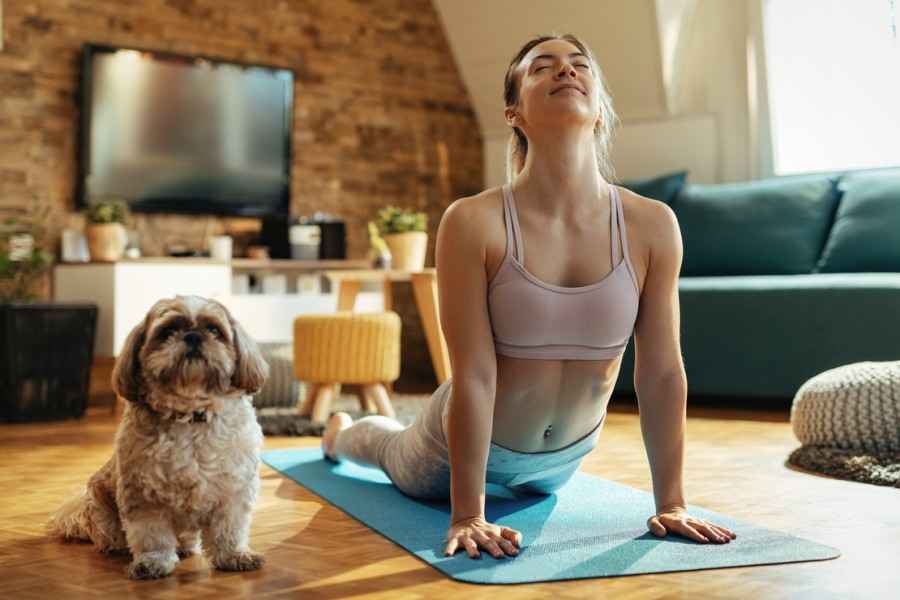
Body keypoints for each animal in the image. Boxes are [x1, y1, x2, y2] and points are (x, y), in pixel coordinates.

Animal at [47, 292, 268, 580]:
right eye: (168, 331)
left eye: (213, 330)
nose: (193, 336)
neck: (191, 414)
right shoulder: (143, 496)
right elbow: (152, 535)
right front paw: (153, 562)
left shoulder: (233, 491)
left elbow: (229, 529)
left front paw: (233, 556)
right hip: (100, 506)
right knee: (112, 536)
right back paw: (118, 547)